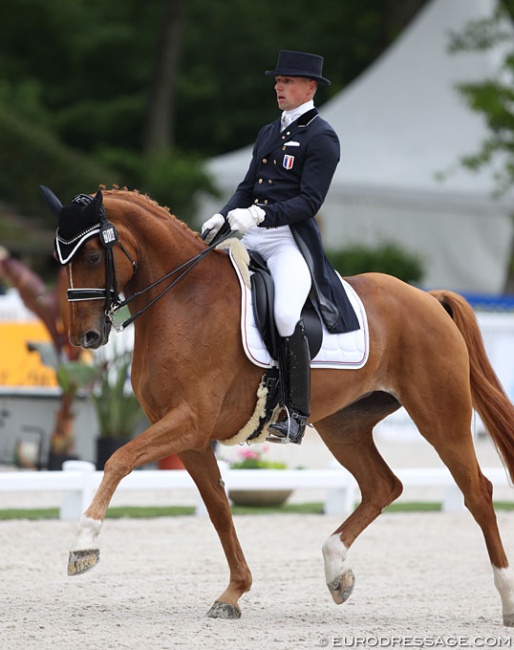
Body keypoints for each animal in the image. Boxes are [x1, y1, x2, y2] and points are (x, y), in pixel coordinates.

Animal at [42, 186, 512, 624]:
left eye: (90, 254)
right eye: (61, 259)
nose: (84, 338)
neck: (186, 299)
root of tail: (428, 299)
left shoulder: (190, 422)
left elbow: (119, 459)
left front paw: (83, 546)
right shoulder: (189, 437)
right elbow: (218, 507)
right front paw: (233, 593)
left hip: (441, 417)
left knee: (477, 492)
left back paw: (506, 600)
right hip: (344, 427)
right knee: (384, 486)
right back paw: (336, 571)